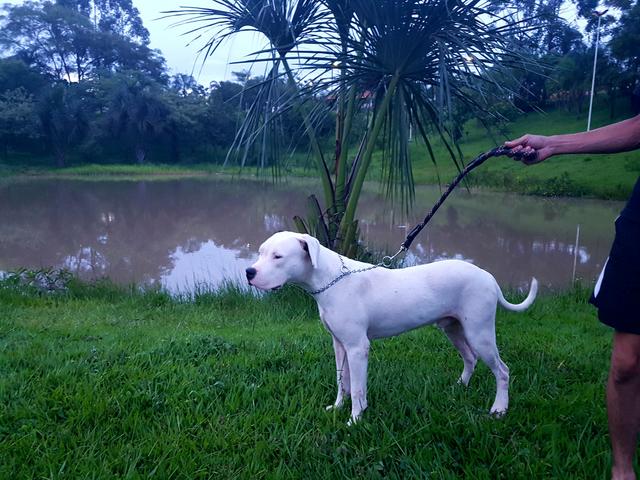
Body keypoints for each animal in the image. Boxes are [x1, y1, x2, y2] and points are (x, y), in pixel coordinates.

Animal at [248, 232, 536, 424]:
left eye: (278, 256)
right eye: (260, 252)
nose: (249, 272)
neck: (331, 279)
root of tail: (488, 276)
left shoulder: (357, 348)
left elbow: (358, 388)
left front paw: (355, 420)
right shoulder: (340, 345)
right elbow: (343, 381)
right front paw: (338, 407)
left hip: (480, 333)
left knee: (502, 371)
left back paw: (499, 409)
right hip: (453, 328)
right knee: (470, 358)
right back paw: (459, 387)